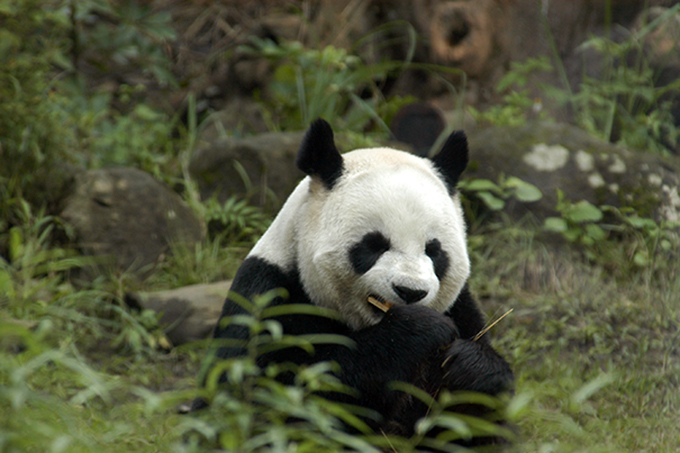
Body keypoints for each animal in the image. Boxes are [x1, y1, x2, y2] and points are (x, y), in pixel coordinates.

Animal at [201, 118, 513, 444]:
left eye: (434, 250)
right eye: (373, 245)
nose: (410, 292)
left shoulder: (462, 308)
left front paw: (471, 368)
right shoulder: (267, 294)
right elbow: (251, 399)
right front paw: (416, 330)